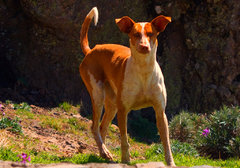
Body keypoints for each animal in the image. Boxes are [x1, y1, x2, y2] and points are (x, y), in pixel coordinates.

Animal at [79, 6, 175, 167]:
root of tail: (91, 50)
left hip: (112, 104)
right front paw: (125, 160)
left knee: (102, 127)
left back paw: (103, 153)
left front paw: (170, 163)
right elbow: (124, 140)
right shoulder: (123, 110)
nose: (144, 46)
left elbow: (166, 142)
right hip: (98, 96)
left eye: (151, 34)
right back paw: (104, 151)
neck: (143, 71)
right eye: (135, 34)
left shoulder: (160, 111)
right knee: (94, 127)